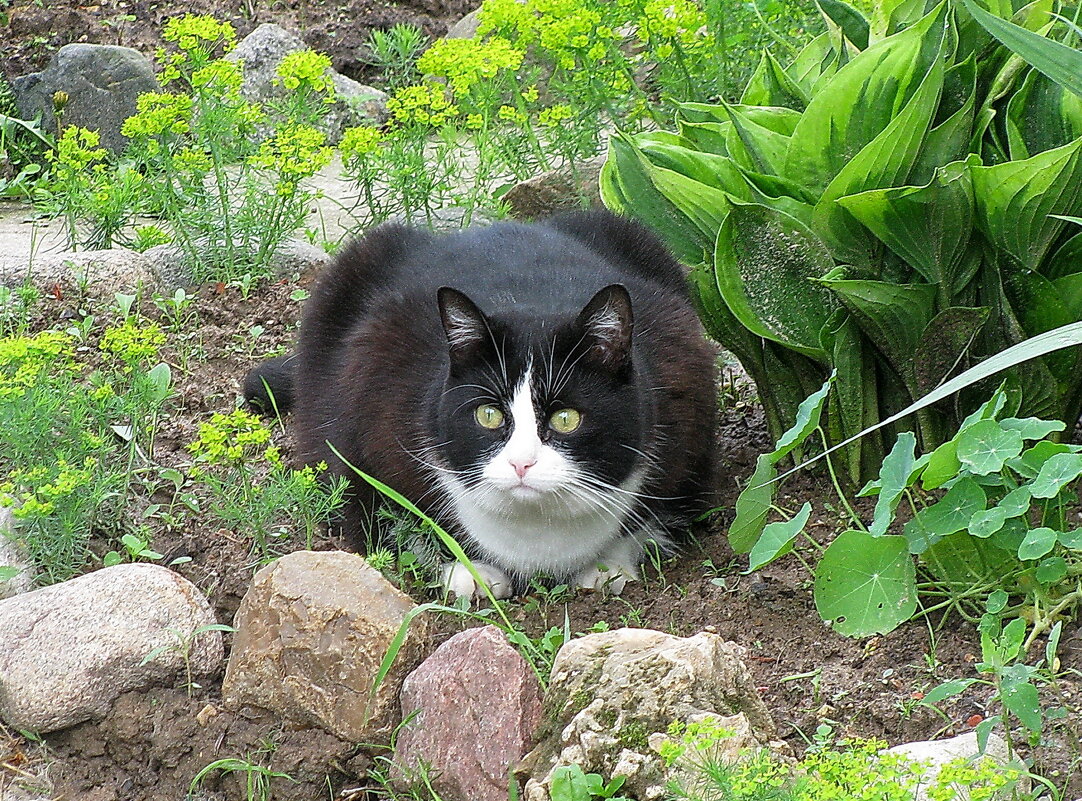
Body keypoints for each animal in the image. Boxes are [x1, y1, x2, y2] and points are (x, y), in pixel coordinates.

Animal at [245, 209, 718, 597]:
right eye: (488, 414)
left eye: (566, 418)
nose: (522, 463)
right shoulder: (362, 420)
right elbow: (388, 515)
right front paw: (468, 572)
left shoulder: (689, 417)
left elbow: (653, 515)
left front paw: (606, 566)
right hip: (351, 270)